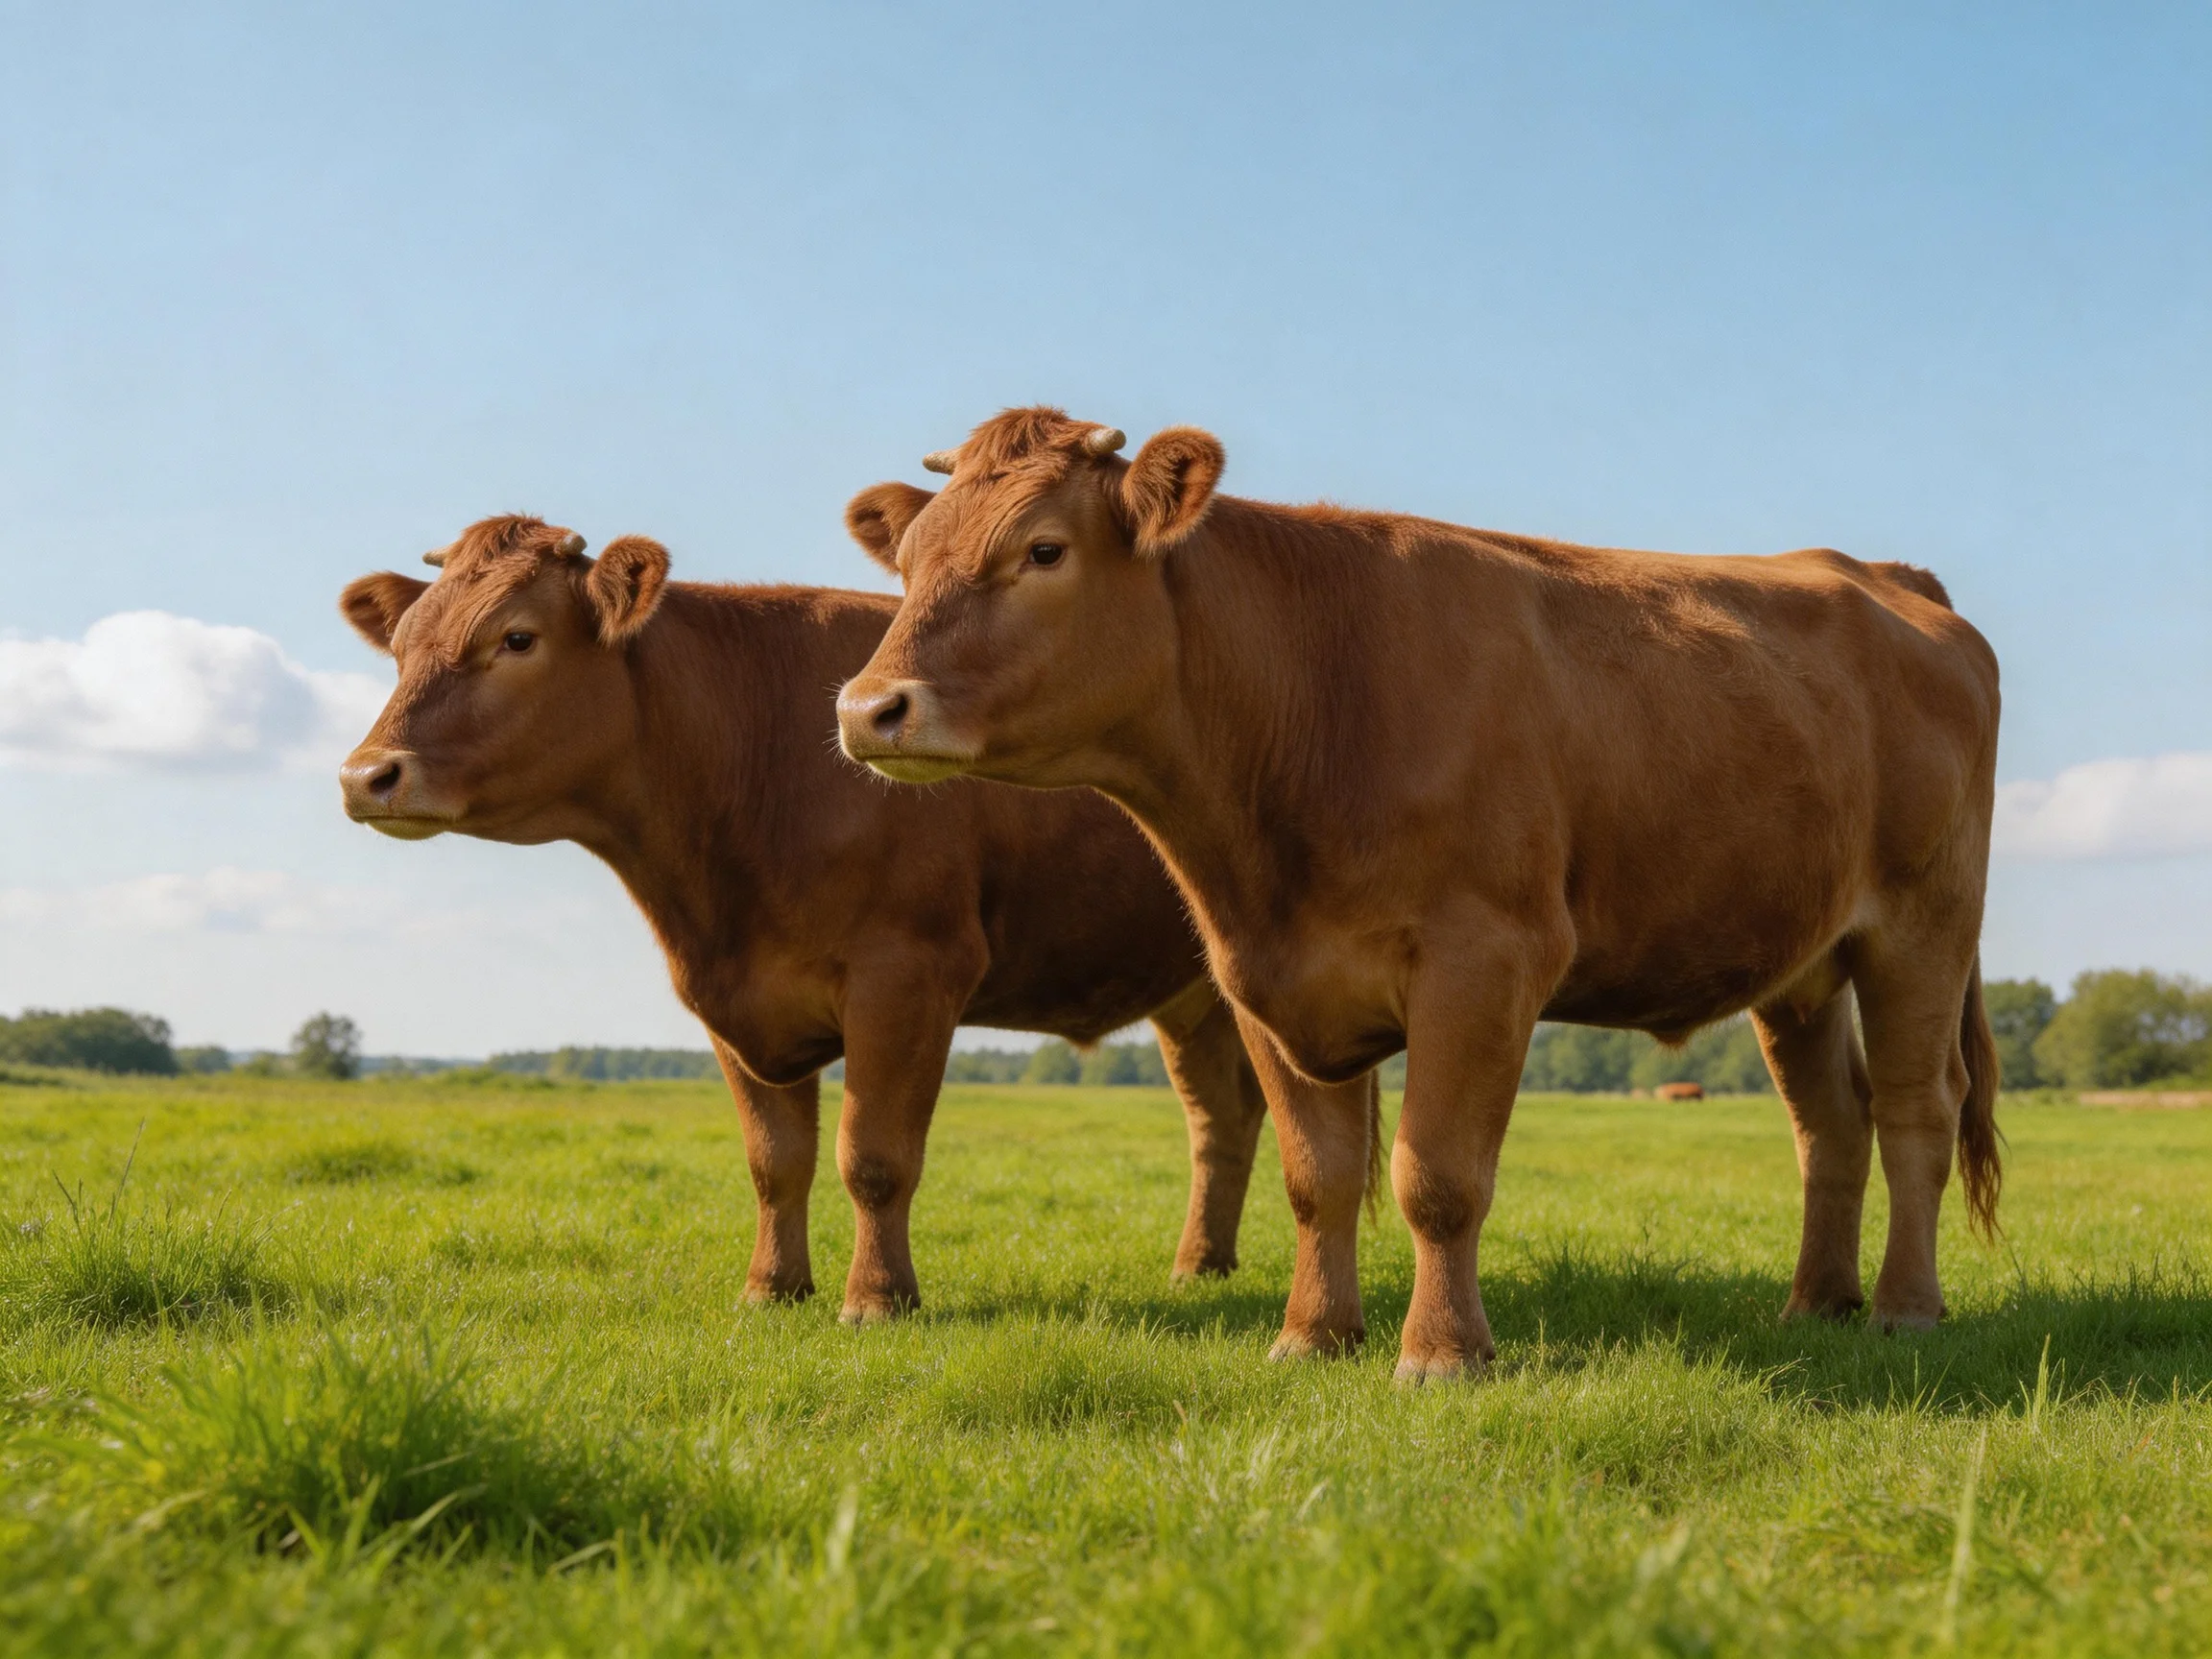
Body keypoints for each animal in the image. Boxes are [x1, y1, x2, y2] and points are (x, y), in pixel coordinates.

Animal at [336, 513, 1299, 1323]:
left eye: (517, 637)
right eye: (402, 648)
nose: (365, 774)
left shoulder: (909, 973)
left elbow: (873, 1156)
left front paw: (876, 1299)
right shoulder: (732, 997)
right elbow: (775, 1161)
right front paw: (772, 1288)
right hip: (1196, 994)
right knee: (1220, 1119)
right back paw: (1199, 1267)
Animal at [834, 407, 2003, 1381]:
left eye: (1042, 549)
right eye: (912, 562)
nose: (867, 707)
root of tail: (1881, 575)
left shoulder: (1485, 959)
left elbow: (1436, 1176)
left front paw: (1442, 1353)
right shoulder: (1265, 978)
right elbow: (1319, 1174)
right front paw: (1313, 1336)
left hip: (1923, 927)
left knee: (1915, 1107)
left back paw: (1904, 1308)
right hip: (1802, 966)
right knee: (1831, 1122)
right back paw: (1815, 1303)